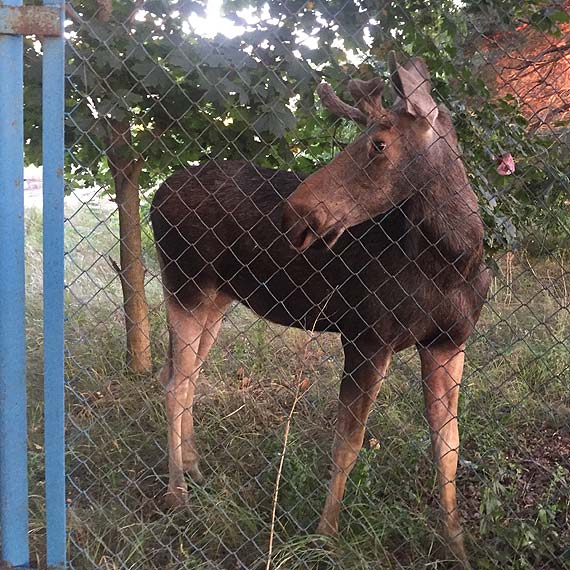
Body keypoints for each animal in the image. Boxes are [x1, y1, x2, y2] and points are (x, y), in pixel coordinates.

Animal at [151, 52, 488, 564]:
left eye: (378, 144)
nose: (295, 213)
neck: (454, 261)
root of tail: (155, 196)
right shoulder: (367, 336)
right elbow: (349, 443)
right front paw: (326, 536)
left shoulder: (450, 342)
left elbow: (448, 446)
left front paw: (458, 548)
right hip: (184, 285)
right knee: (174, 383)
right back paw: (177, 495)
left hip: (216, 298)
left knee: (181, 376)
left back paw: (193, 468)